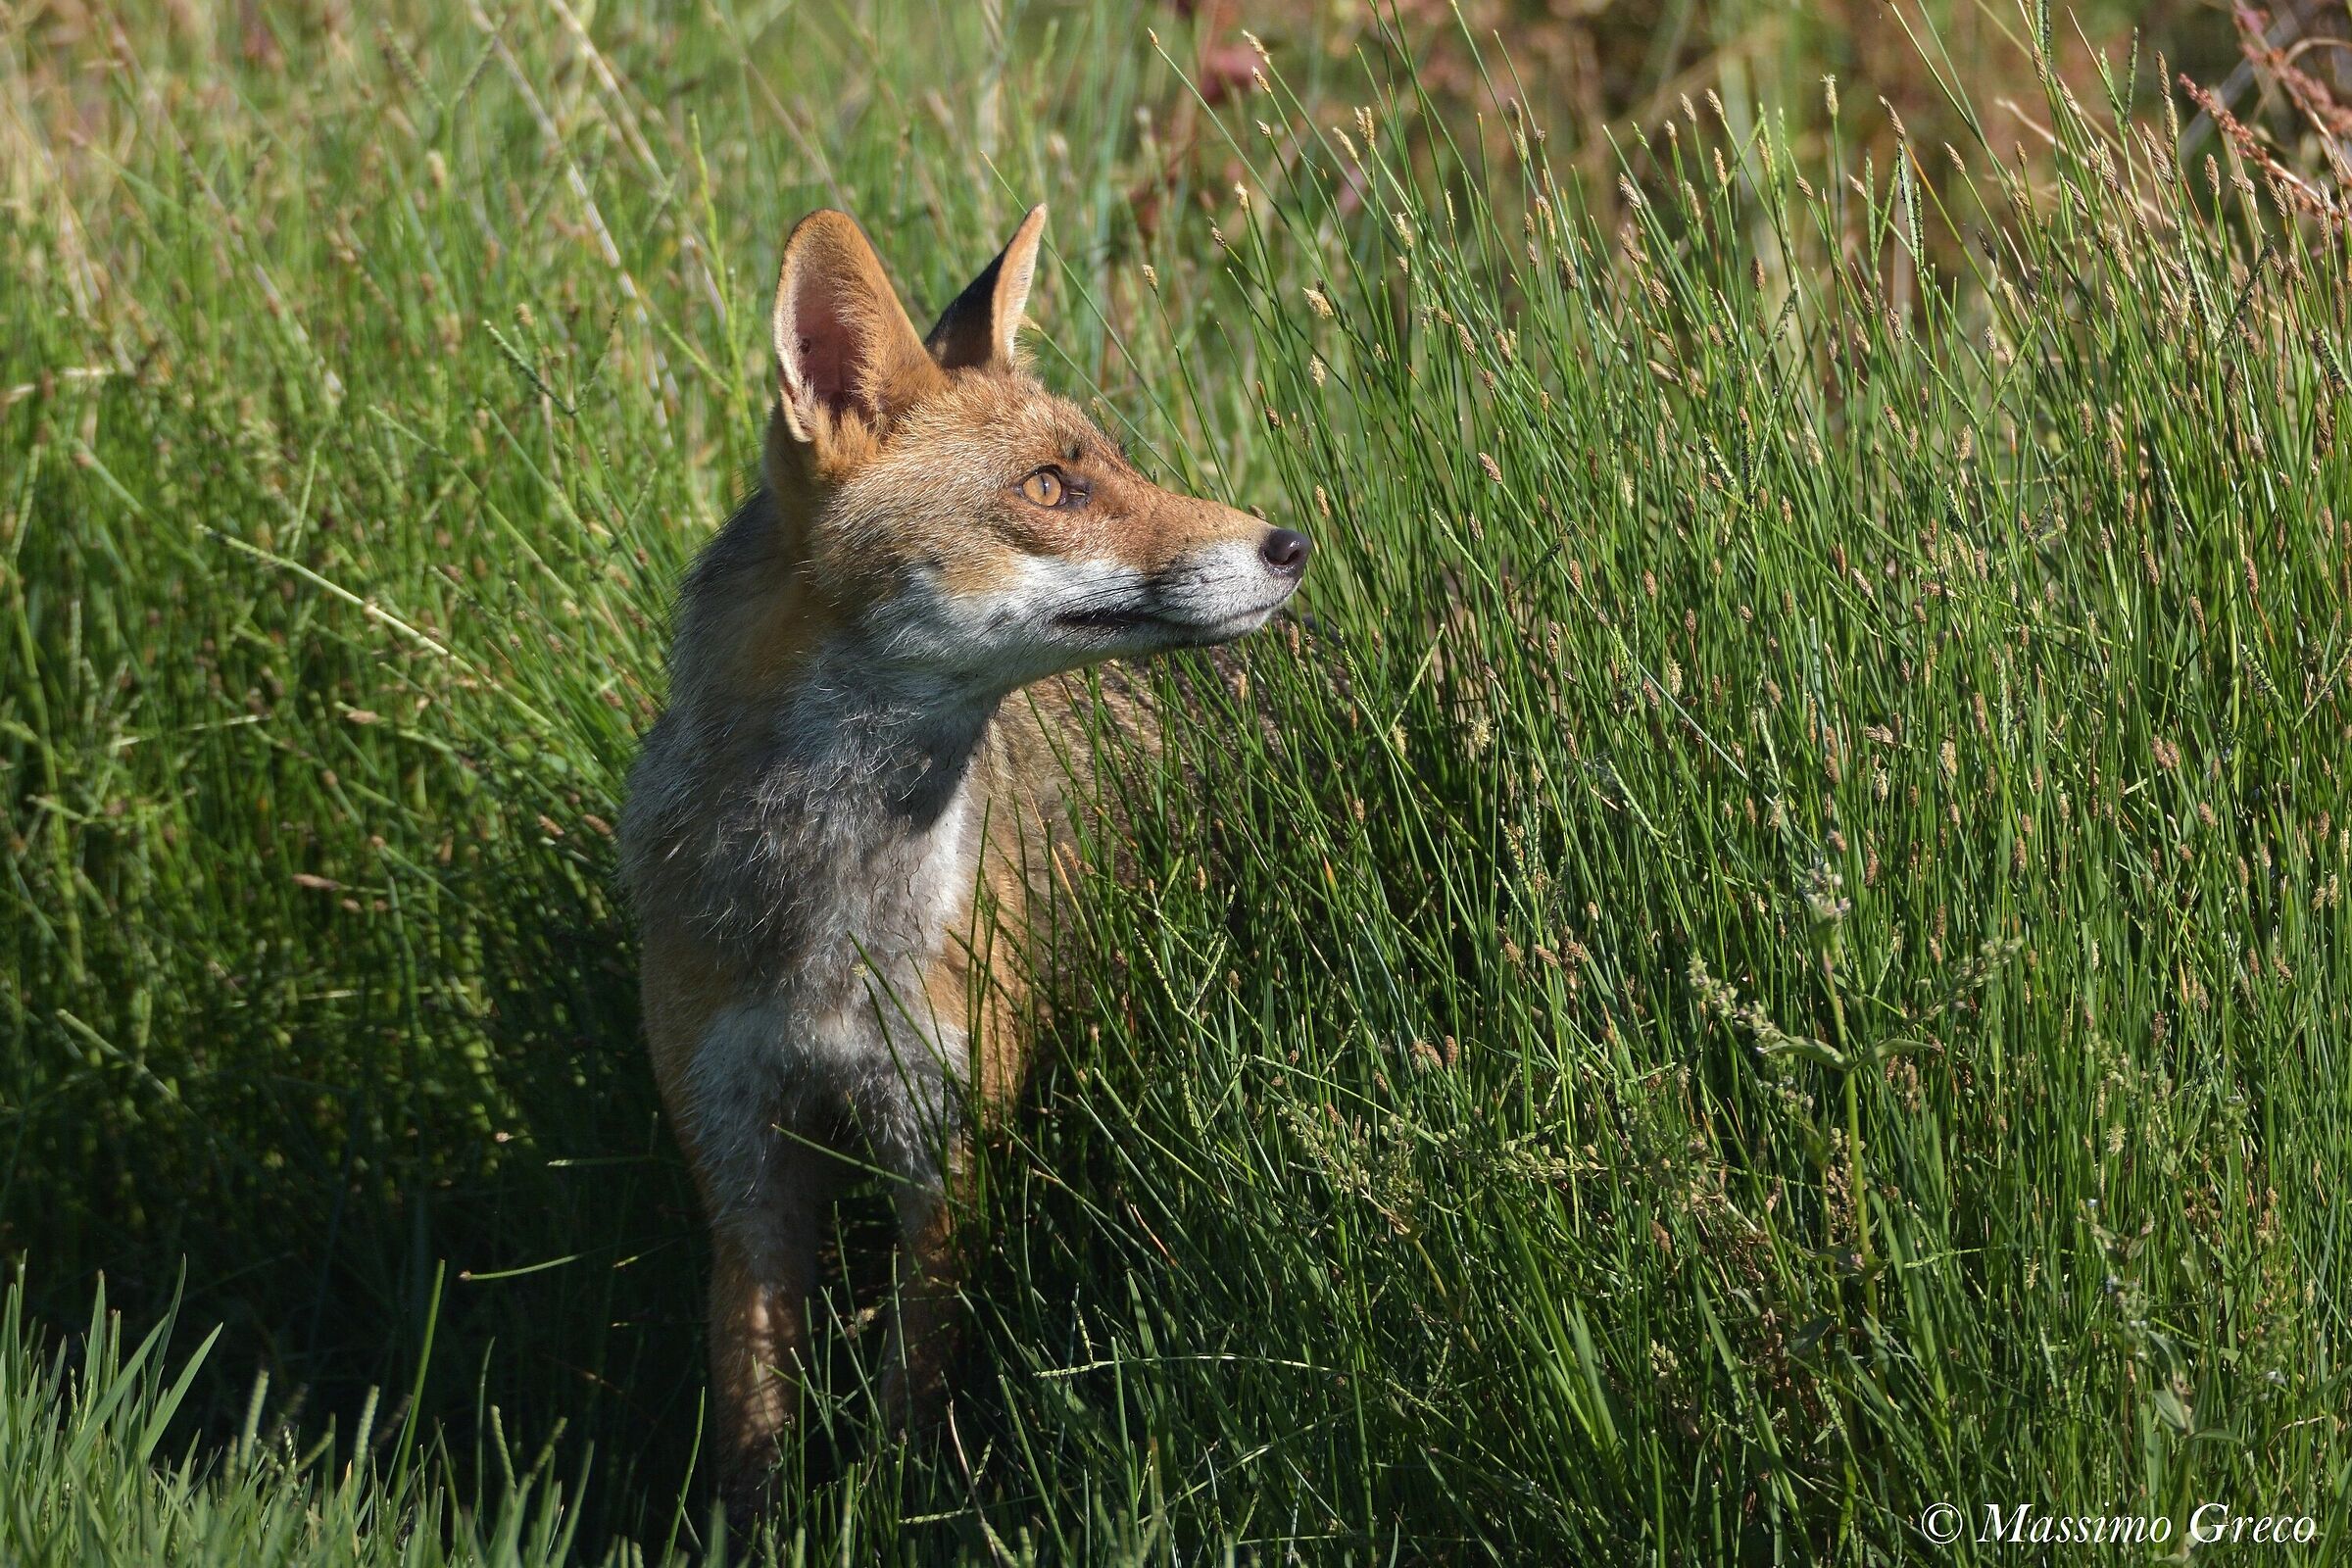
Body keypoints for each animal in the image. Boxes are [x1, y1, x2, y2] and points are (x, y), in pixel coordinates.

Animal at [618, 205, 1309, 1515]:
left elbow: (910, 1397)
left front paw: (894, 1514)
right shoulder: (742, 1169)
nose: (1291, 540)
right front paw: (763, 1529)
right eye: (1051, 486)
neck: (828, 925)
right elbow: (752, 1426)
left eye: (1115, 464)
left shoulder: (943, 1150)